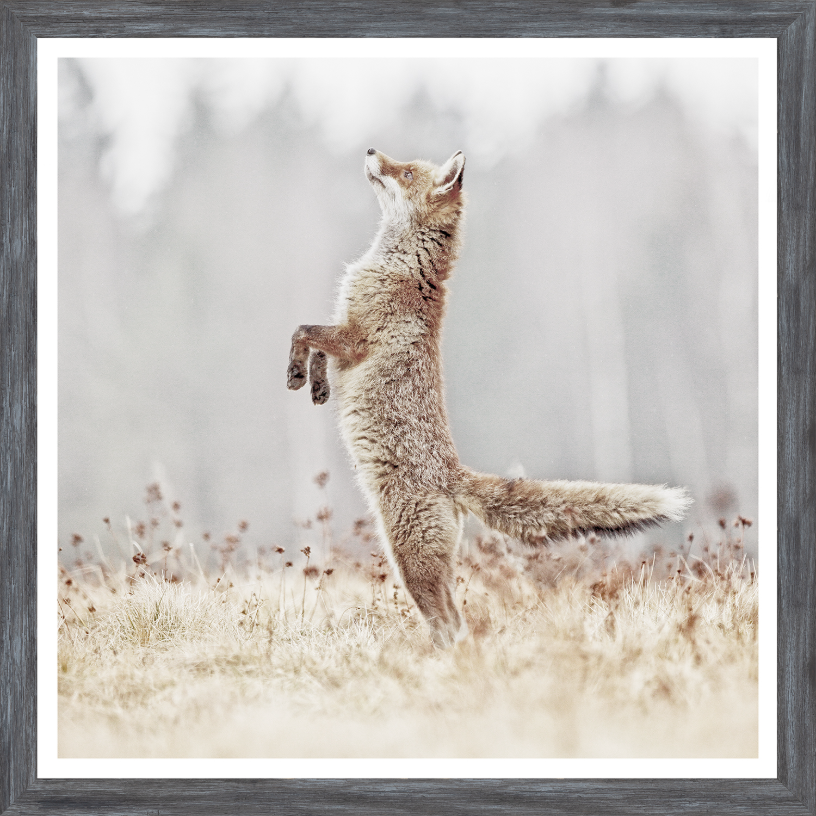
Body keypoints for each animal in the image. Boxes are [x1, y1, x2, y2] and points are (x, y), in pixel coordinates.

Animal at [287, 148, 691, 648]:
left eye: (405, 171)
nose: (370, 151)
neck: (400, 267)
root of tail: (453, 475)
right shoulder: (345, 333)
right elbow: (317, 346)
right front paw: (316, 384)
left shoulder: (356, 336)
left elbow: (303, 331)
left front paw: (296, 372)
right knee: (453, 621)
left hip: (409, 560)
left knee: (450, 623)